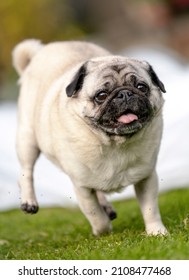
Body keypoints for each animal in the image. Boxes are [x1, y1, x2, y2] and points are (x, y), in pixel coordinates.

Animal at [12, 40, 167, 236]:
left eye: (141, 87)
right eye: (101, 95)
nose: (124, 93)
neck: (114, 144)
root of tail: (41, 51)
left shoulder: (146, 177)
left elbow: (150, 209)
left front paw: (157, 232)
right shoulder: (82, 188)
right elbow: (95, 214)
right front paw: (103, 232)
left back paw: (106, 206)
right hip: (27, 139)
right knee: (26, 171)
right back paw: (29, 201)